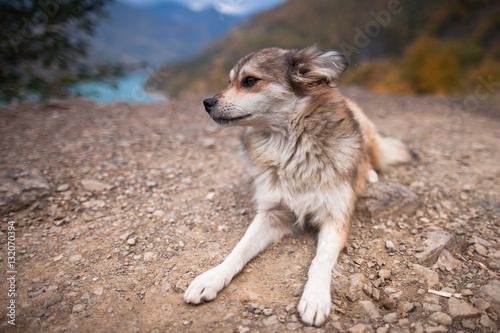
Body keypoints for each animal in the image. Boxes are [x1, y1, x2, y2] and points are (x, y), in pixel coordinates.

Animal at [184, 46, 410, 324]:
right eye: (229, 81)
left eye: (249, 80)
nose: (206, 103)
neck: (291, 147)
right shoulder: (272, 213)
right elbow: (240, 247)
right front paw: (213, 277)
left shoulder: (336, 217)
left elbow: (321, 259)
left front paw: (315, 298)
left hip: (368, 135)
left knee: (371, 157)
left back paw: (370, 175)